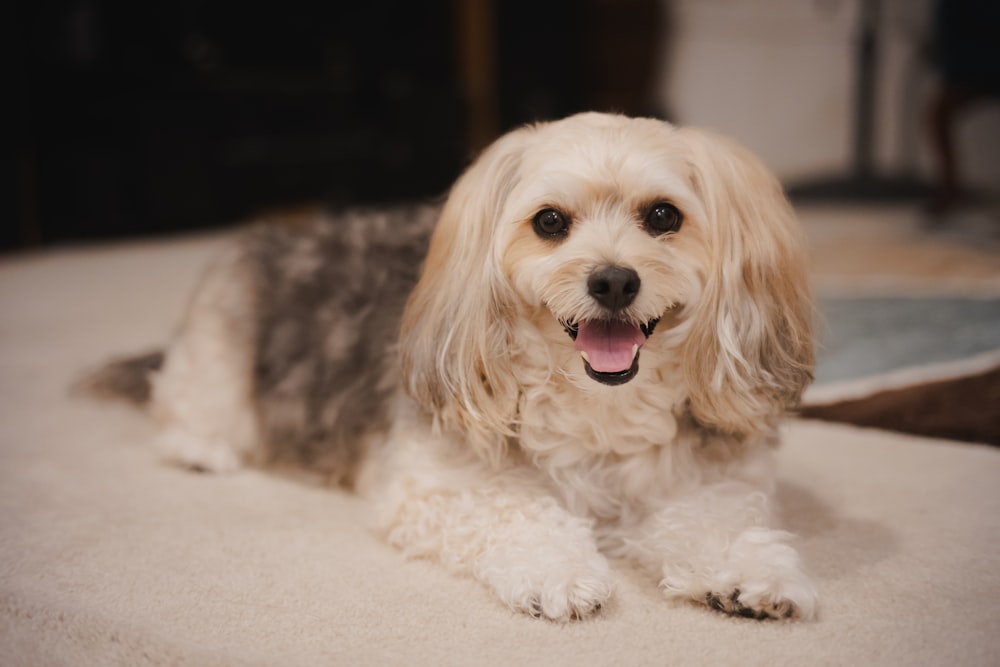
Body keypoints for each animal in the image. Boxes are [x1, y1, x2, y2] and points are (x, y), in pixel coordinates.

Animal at [88, 113, 820, 620]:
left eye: (664, 215)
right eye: (549, 222)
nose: (614, 281)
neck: (599, 408)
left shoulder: (710, 483)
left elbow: (717, 523)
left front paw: (749, 574)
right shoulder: (437, 484)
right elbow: (518, 512)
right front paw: (558, 571)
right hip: (220, 357)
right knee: (182, 402)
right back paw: (199, 449)